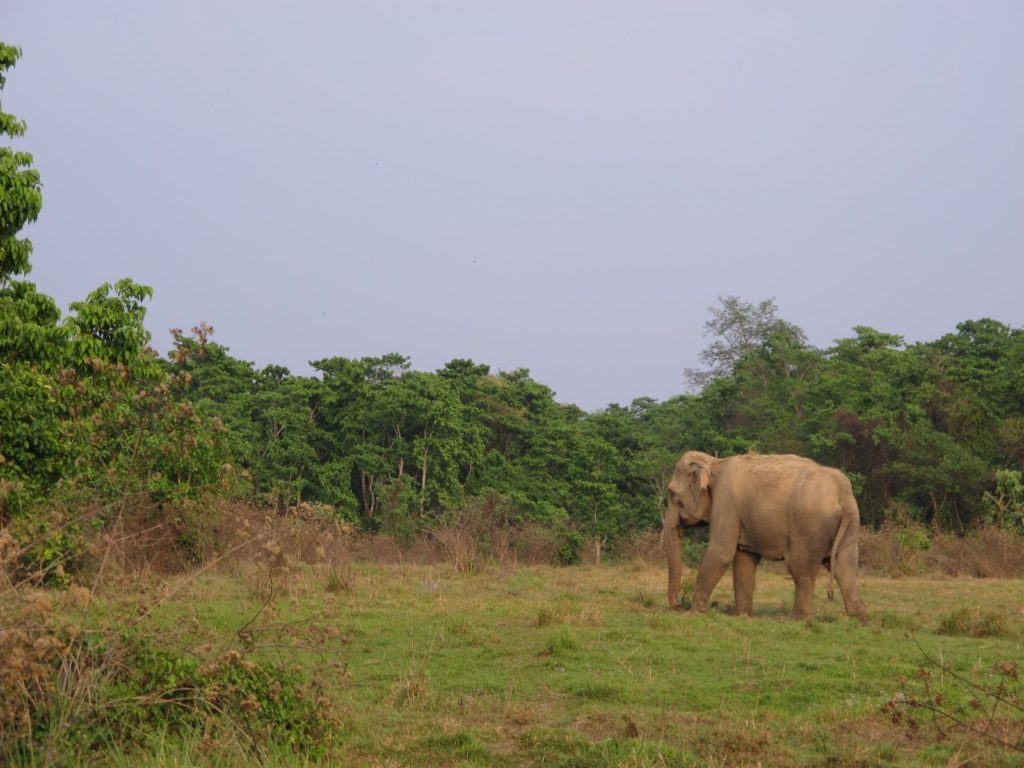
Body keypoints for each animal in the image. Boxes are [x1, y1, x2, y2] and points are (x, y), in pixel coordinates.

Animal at [663, 450, 864, 618]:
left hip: (809, 525)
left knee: (801, 567)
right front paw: (742, 616)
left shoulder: (726, 502)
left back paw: (797, 620)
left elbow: (722, 552)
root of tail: (841, 494)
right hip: (850, 525)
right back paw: (857, 619)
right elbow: (744, 557)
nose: (678, 604)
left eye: (671, 492)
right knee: (844, 567)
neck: (714, 462)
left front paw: (693, 614)